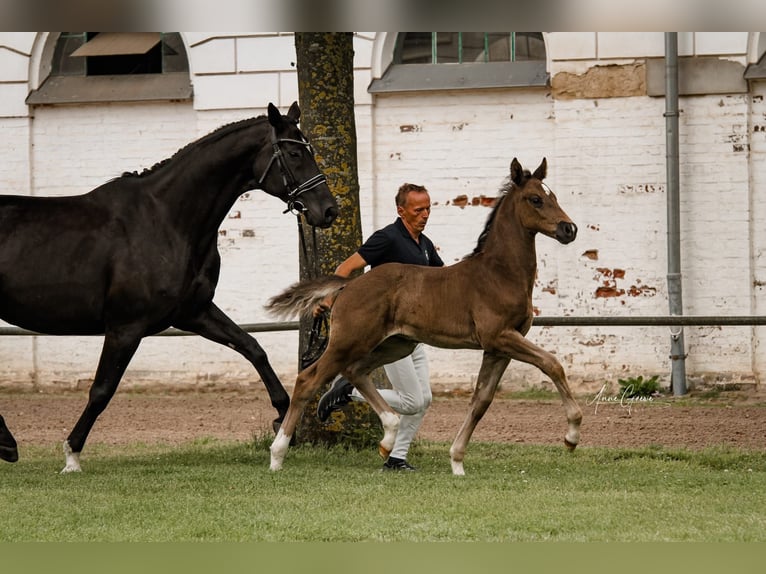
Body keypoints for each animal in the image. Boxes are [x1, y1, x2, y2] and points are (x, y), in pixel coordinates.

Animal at [0, 102, 340, 472]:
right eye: (294, 153)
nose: (329, 210)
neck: (167, 220)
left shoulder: (194, 313)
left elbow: (253, 347)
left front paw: (282, 417)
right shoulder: (126, 328)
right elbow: (102, 390)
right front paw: (72, 454)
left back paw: (6, 443)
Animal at [268, 158, 584, 476]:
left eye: (554, 196)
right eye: (535, 199)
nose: (569, 229)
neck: (499, 273)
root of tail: (346, 286)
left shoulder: (498, 348)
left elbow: (481, 400)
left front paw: (457, 461)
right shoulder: (500, 337)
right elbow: (552, 364)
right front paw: (571, 435)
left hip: (395, 344)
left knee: (355, 371)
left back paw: (389, 435)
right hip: (349, 341)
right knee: (308, 379)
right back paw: (277, 455)